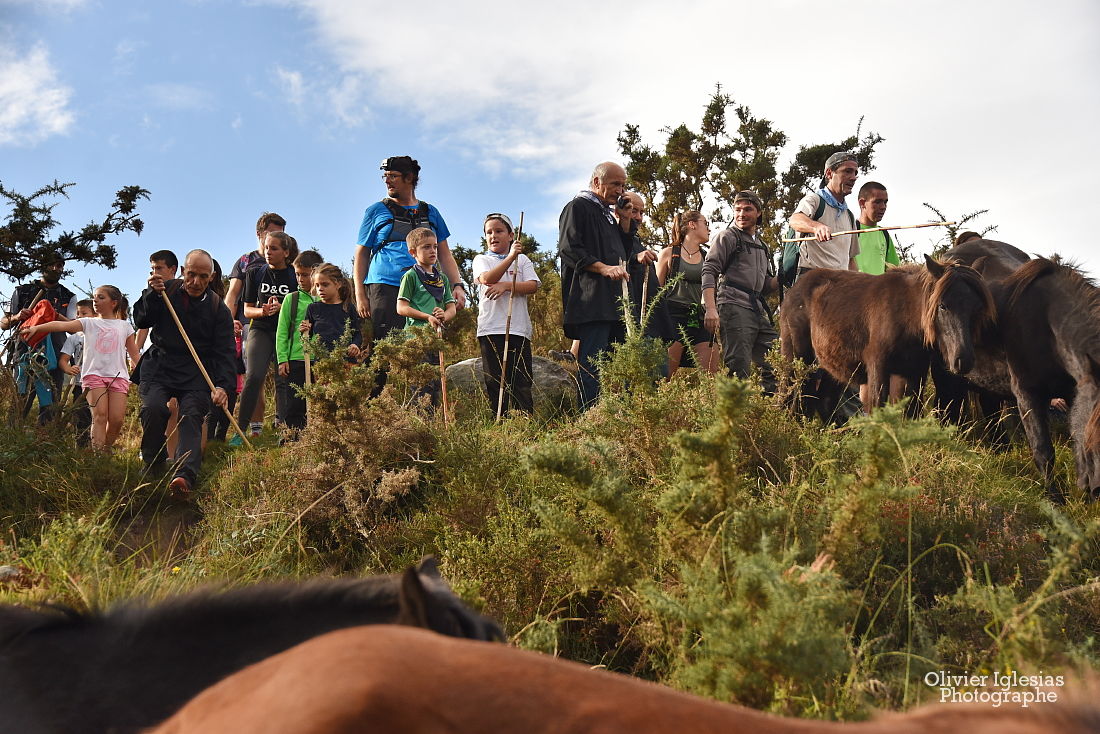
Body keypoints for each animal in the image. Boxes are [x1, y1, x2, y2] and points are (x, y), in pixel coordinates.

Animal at [783, 255, 998, 422]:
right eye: (943, 305)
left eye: (978, 308)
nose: (963, 360)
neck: (907, 317)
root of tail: (793, 289)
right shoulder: (878, 367)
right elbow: (878, 409)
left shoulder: (914, 373)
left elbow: (910, 413)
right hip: (796, 357)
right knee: (792, 395)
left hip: (832, 367)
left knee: (822, 400)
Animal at [937, 238, 1100, 501]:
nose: (1097, 490)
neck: (1048, 327)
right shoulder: (1027, 394)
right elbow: (1043, 451)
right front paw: (1055, 501)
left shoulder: (1072, 391)